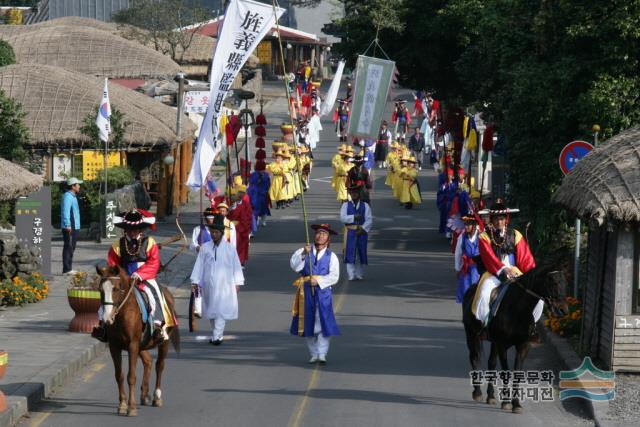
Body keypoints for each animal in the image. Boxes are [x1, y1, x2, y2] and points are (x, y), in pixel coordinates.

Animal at [98, 266, 182, 416]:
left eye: (116, 289)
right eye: (100, 290)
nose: (107, 318)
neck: (123, 314)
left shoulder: (132, 345)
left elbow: (131, 377)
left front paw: (131, 407)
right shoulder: (115, 346)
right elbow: (119, 375)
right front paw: (122, 404)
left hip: (163, 343)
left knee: (159, 365)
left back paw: (156, 396)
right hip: (141, 345)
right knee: (148, 361)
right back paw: (144, 395)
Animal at [462, 270, 568, 414]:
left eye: (565, 283)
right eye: (553, 284)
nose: (563, 310)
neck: (518, 309)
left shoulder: (523, 346)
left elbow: (516, 374)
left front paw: (516, 404)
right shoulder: (502, 345)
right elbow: (506, 373)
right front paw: (506, 402)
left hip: (493, 342)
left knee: (491, 363)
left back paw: (491, 396)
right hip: (471, 335)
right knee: (474, 359)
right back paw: (477, 393)